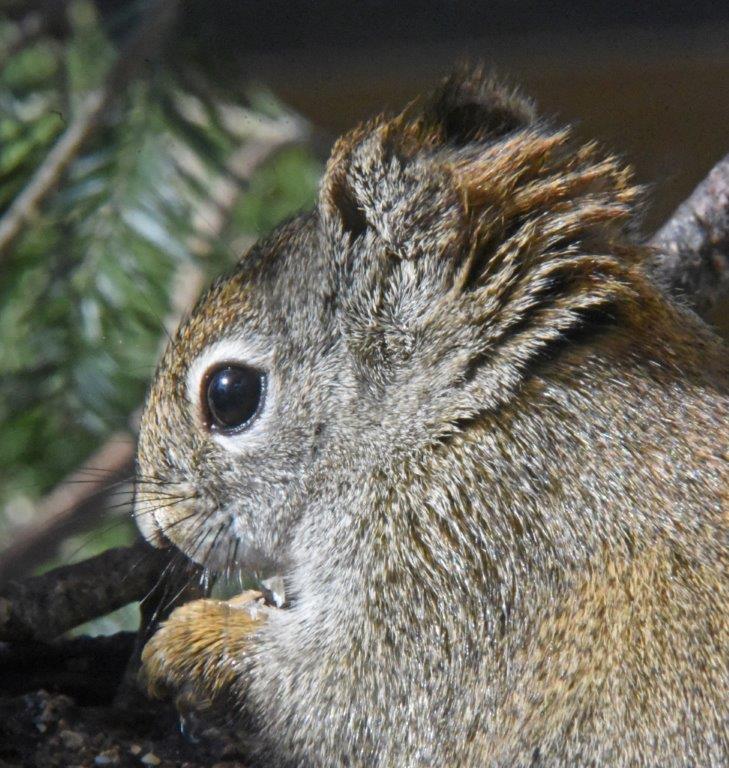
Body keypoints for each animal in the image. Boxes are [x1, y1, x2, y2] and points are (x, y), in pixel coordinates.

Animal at [134, 70, 728, 767]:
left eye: (229, 396)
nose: (153, 526)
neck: (462, 415)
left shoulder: (463, 561)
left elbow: (348, 696)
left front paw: (195, 638)